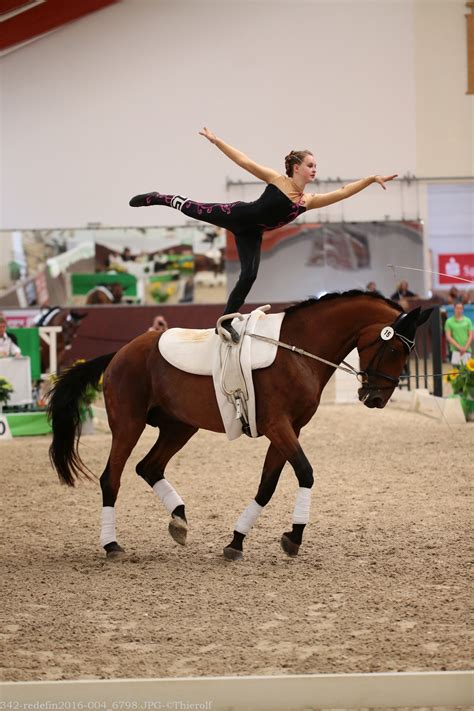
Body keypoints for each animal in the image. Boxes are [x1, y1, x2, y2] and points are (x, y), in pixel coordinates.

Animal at [48, 292, 434, 560]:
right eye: (396, 350)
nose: (376, 399)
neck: (297, 351)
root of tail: (119, 353)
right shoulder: (279, 426)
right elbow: (306, 473)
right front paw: (294, 537)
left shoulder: (288, 430)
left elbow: (267, 485)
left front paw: (237, 541)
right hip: (129, 425)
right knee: (111, 478)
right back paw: (112, 544)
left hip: (179, 427)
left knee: (149, 466)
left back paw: (179, 520)